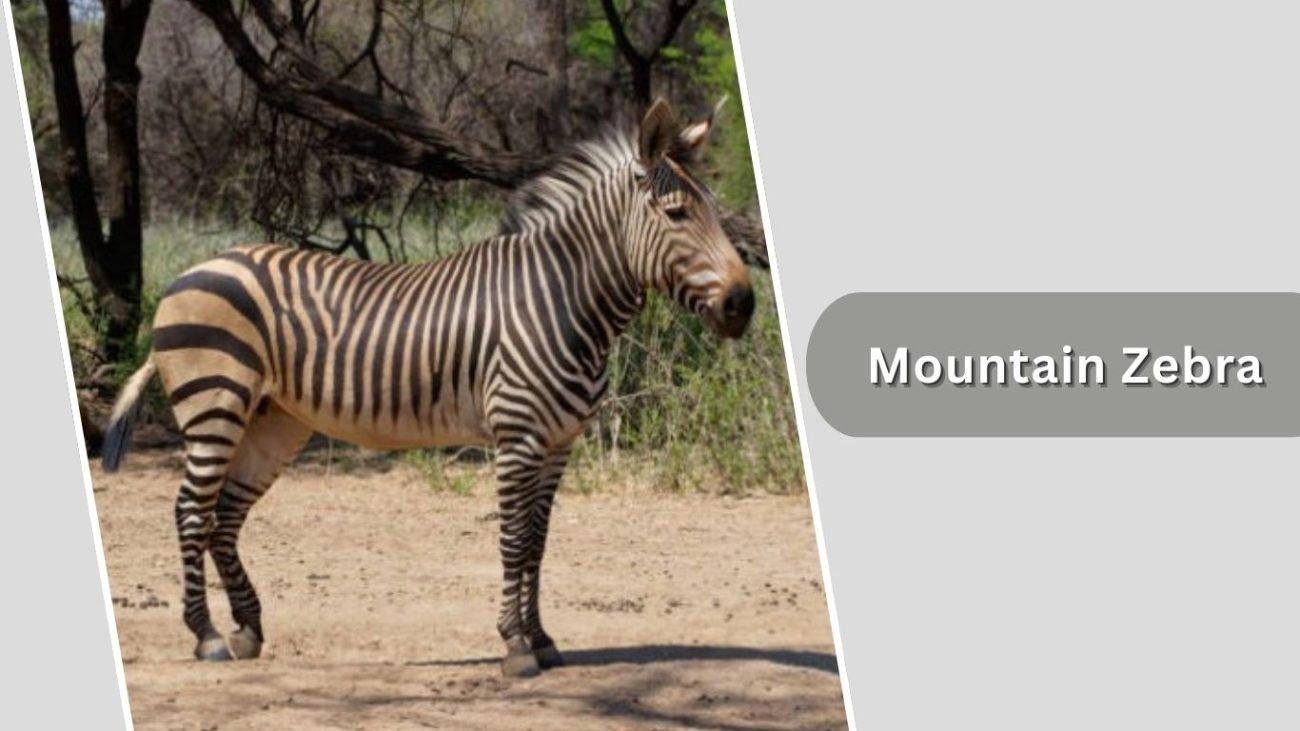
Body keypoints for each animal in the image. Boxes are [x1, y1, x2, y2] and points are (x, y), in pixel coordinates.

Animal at [101, 98, 756, 678]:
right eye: (676, 214)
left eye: (713, 211)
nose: (743, 305)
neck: (559, 298)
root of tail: (193, 270)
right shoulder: (518, 436)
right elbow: (514, 540)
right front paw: (515, 647)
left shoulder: (558, 443)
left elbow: (538, 543)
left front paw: (543, 639)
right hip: (215, 402)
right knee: (192, 510)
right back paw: (207, 636)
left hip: (274, 419)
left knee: (226, 514)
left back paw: (247, 629)